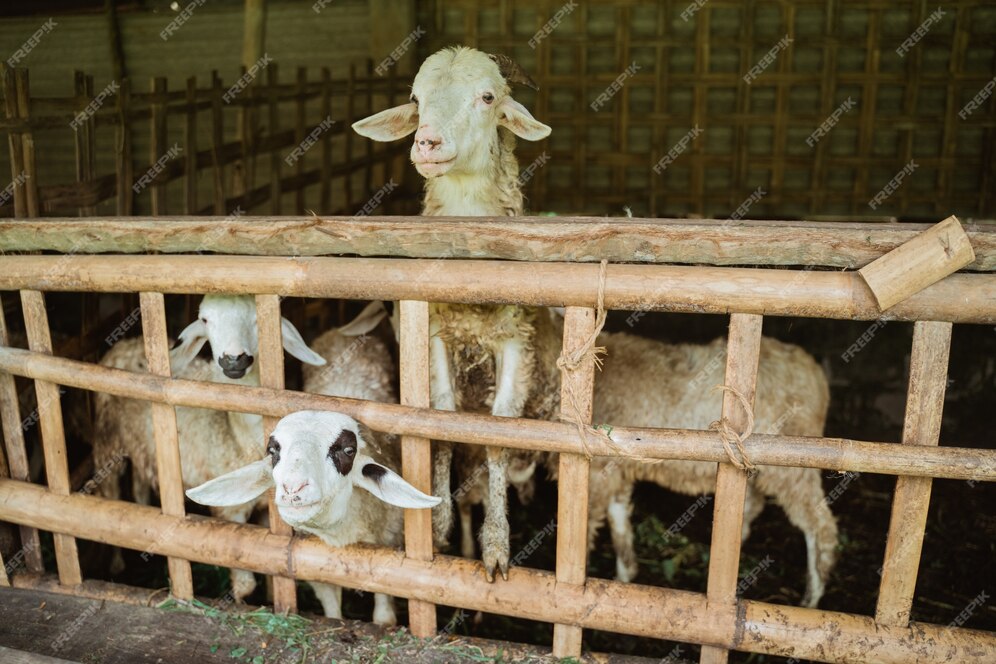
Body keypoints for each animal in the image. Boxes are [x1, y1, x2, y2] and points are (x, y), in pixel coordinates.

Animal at [92, 294, 324, 600]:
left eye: (257, 318)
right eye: (204, 319)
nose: (234, 359)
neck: (237, 434)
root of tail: (127, 344)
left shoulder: (265, 510)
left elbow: (268, 562)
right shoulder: (228, 512)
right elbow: (245, 583)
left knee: (140, 483)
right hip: (107, 444)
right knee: (109, 495)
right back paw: (117, 563)